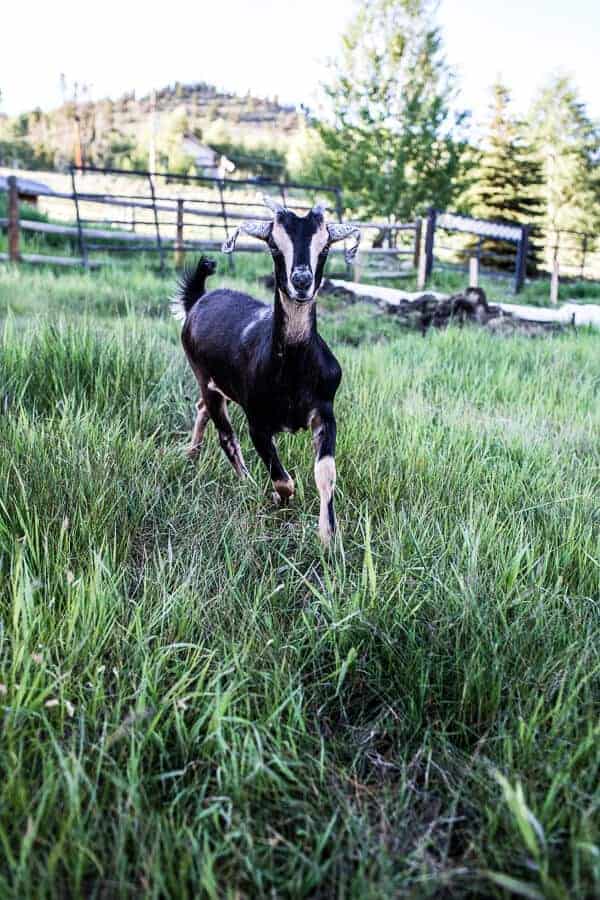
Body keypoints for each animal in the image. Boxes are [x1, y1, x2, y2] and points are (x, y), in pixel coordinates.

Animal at [172, 195, 360, 544]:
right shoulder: (257, 422)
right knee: (224, 433)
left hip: (218, 385)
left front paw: (328, 537)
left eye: (325, 246)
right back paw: (244, 480)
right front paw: (277, 500)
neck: (294, 370)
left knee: (202, 407)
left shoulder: (324, 412)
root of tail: (198, 301)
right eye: (274, 244)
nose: (302, 281)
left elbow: (326, 473)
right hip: (204, 376)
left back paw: (191, 454)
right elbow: (283, 479)